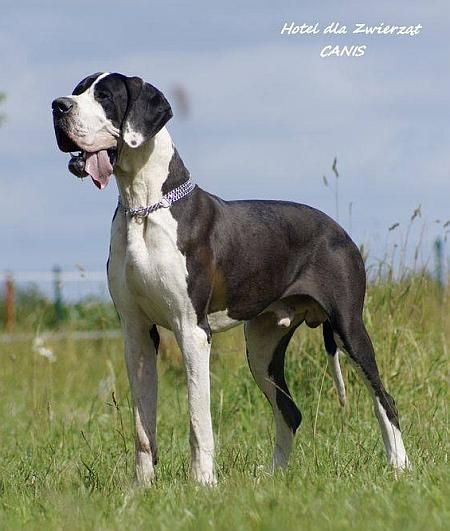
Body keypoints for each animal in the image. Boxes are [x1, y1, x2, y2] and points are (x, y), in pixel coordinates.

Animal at [52, 72, 410, 485]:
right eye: (77, 91)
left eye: (104, 96)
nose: (58, 106)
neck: (143, 208)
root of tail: (339, 230)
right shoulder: (136, 332)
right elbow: (143, 425)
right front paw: (141, 487)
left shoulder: (192, 329)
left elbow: (198, 419)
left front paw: (203, 483)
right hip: (262, 347)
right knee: (290, 412)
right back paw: (273, 476)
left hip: (349, 327)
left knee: (384, 400)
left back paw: (400, 466)